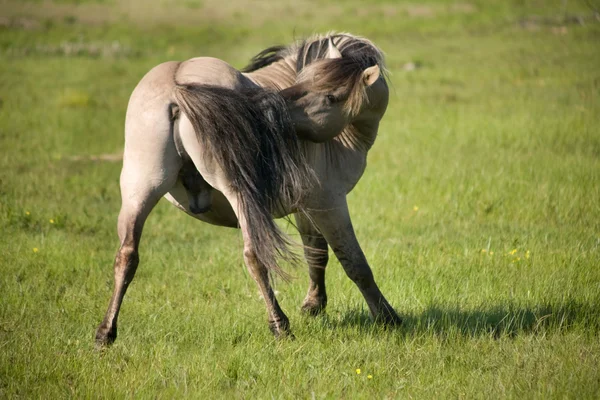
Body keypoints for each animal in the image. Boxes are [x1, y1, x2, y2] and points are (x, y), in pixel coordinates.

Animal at [96, 32, 400, 346]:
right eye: (304, 82)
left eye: (329, 95)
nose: (269, 110)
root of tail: (176, 86)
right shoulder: (329, 203)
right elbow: (354, 262)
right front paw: (387, 318)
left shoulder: (306, 206)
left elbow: (316, 254)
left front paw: (314, 305)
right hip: (240, 194)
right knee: (255, 255)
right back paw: (280, 326)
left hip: (139, 188)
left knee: (127, 256)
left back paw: (105, 333)